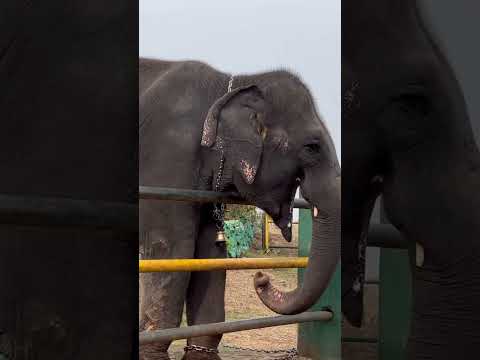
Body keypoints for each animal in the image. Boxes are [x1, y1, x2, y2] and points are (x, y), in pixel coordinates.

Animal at [139, 59, 342, 360]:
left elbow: (209, 251)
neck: (229, 85)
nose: (261, 277)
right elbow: (170, 248)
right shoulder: (168, 156)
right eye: (312, 147)